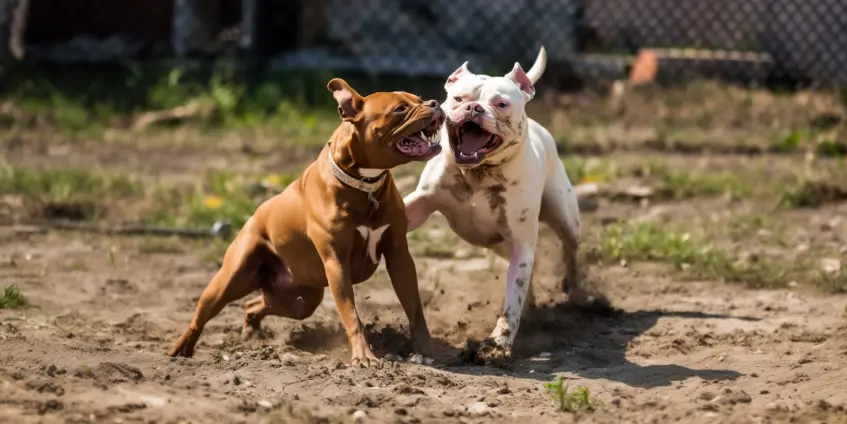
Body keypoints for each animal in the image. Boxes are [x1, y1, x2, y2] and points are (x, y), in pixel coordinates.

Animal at [166, 80, 444, 368]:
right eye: (400, 109)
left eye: (419, 99)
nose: (435, 102)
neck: (364, 184)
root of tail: (255, 214)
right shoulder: (335, 263)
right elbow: (351, 314)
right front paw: (363, 355)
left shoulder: (399, 255)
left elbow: (415, 308)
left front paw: (427, 351)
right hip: (229, 281)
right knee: (202, 315)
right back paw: (180, 349)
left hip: (300, 300)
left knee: (255, 304)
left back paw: (251, 329)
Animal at [404, 47, 584, 358]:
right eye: (459, 98)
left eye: (500, 104)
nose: (474, 108)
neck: (479, 172)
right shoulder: (423, 202)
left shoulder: (522, 245)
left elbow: (512, 303)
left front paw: (497, 345)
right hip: (501, 246)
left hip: (565, 217)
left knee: (569, 249)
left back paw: (574, 290)